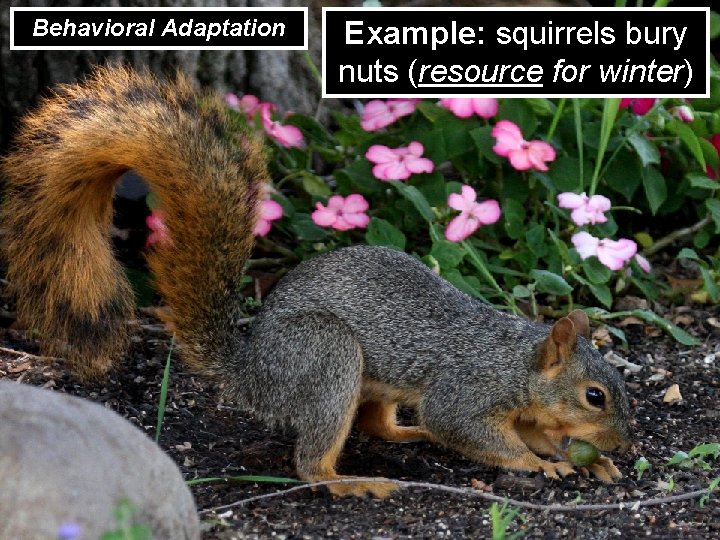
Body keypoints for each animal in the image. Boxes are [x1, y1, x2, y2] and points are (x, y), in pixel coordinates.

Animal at [2, 65, 631, 498]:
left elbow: (535, 432)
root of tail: (251, 372)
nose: (624, 441)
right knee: (312, 463)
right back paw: (350, 482)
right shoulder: (469, 390)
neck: (518, 363)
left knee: (376, 426)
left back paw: (406, 437)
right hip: (325, 357)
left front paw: (592, 460)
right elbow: (472, 431)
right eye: (594, 396)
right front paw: (541, 463)